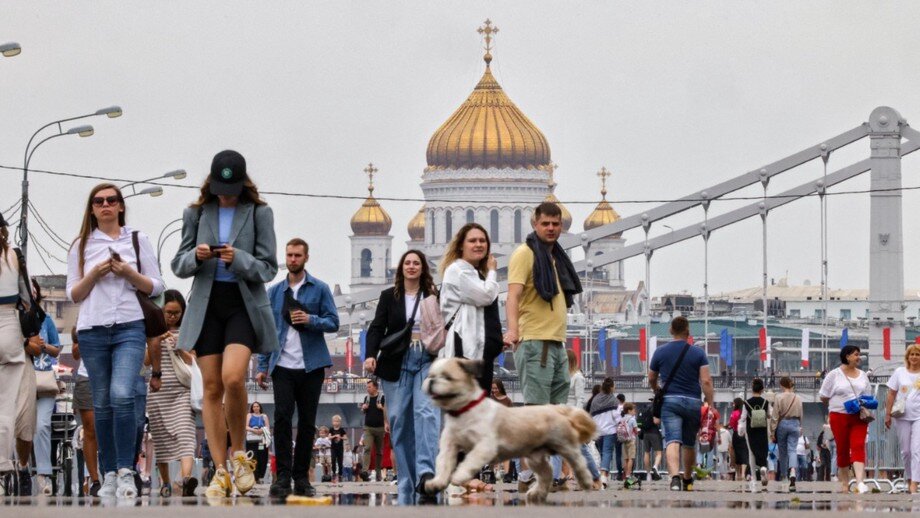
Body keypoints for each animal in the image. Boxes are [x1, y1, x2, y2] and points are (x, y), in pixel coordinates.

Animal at [422, 360, 596, 502]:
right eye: (431, 374)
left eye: (447, 377)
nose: (431, 380)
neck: (465, 411)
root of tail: (558, 409)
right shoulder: (450, 445)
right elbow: (444, 463)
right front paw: (437, 482)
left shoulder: (485, 446)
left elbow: (470, 460)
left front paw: (459, 475)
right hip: (536, 458)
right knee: (546, 473)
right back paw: (537, 493)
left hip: (565, 445)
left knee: (579, 462)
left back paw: (586, 481)